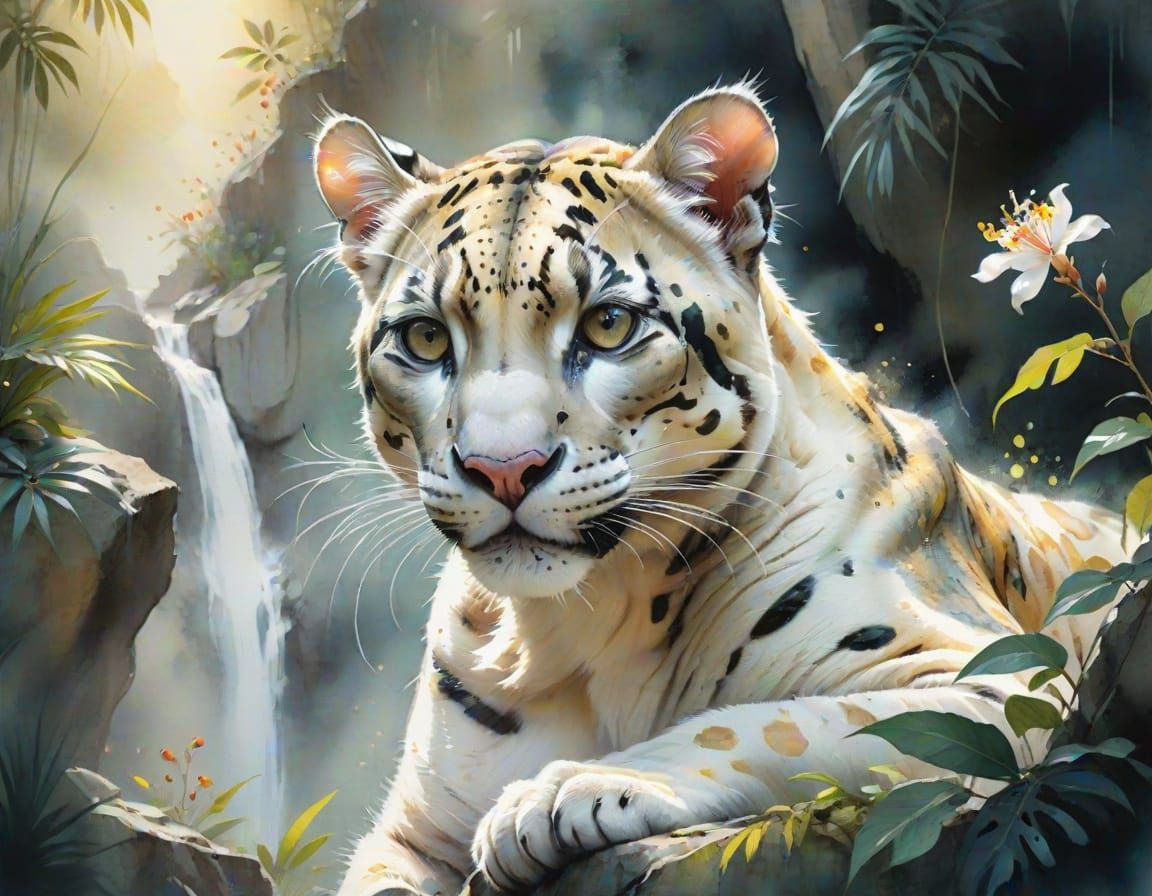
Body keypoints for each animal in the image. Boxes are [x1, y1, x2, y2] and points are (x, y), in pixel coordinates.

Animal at [311, 83, 1124, 896]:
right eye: (424, 338)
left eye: (609, 323)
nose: (504, 467)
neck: (579, 624)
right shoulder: (410, 834)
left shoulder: (993, 683)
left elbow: (773, 721)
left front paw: (561, 792)